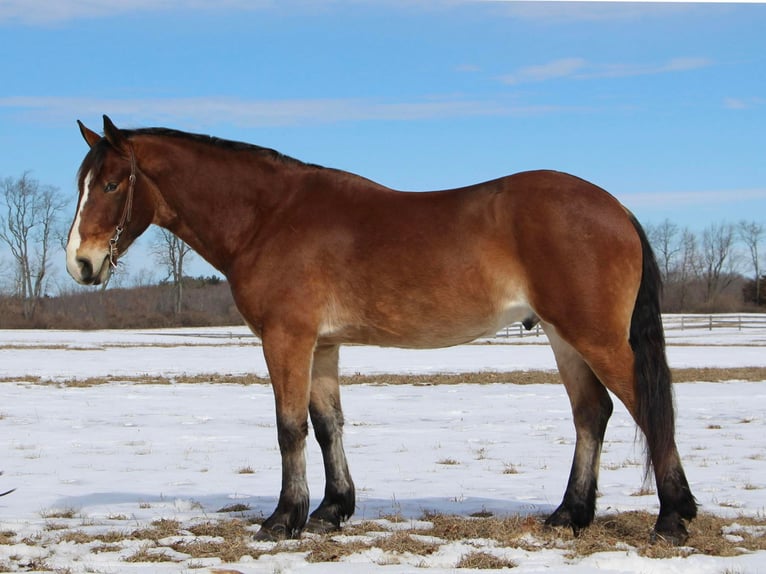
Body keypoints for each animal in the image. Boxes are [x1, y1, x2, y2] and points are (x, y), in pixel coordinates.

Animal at [67, 116, 696, 544]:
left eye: (112, 184)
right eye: (82, 183)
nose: (81, 264)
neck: (269, 218)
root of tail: (615, 208)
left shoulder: (286, 338)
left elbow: (289, 428)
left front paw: (283, 519)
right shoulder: (322, 344)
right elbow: (327, 426)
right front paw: (331, 511)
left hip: (594, 337)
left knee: (645, 408)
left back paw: (671, 518)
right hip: (564, 337)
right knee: (592, 413)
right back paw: (568, 515)